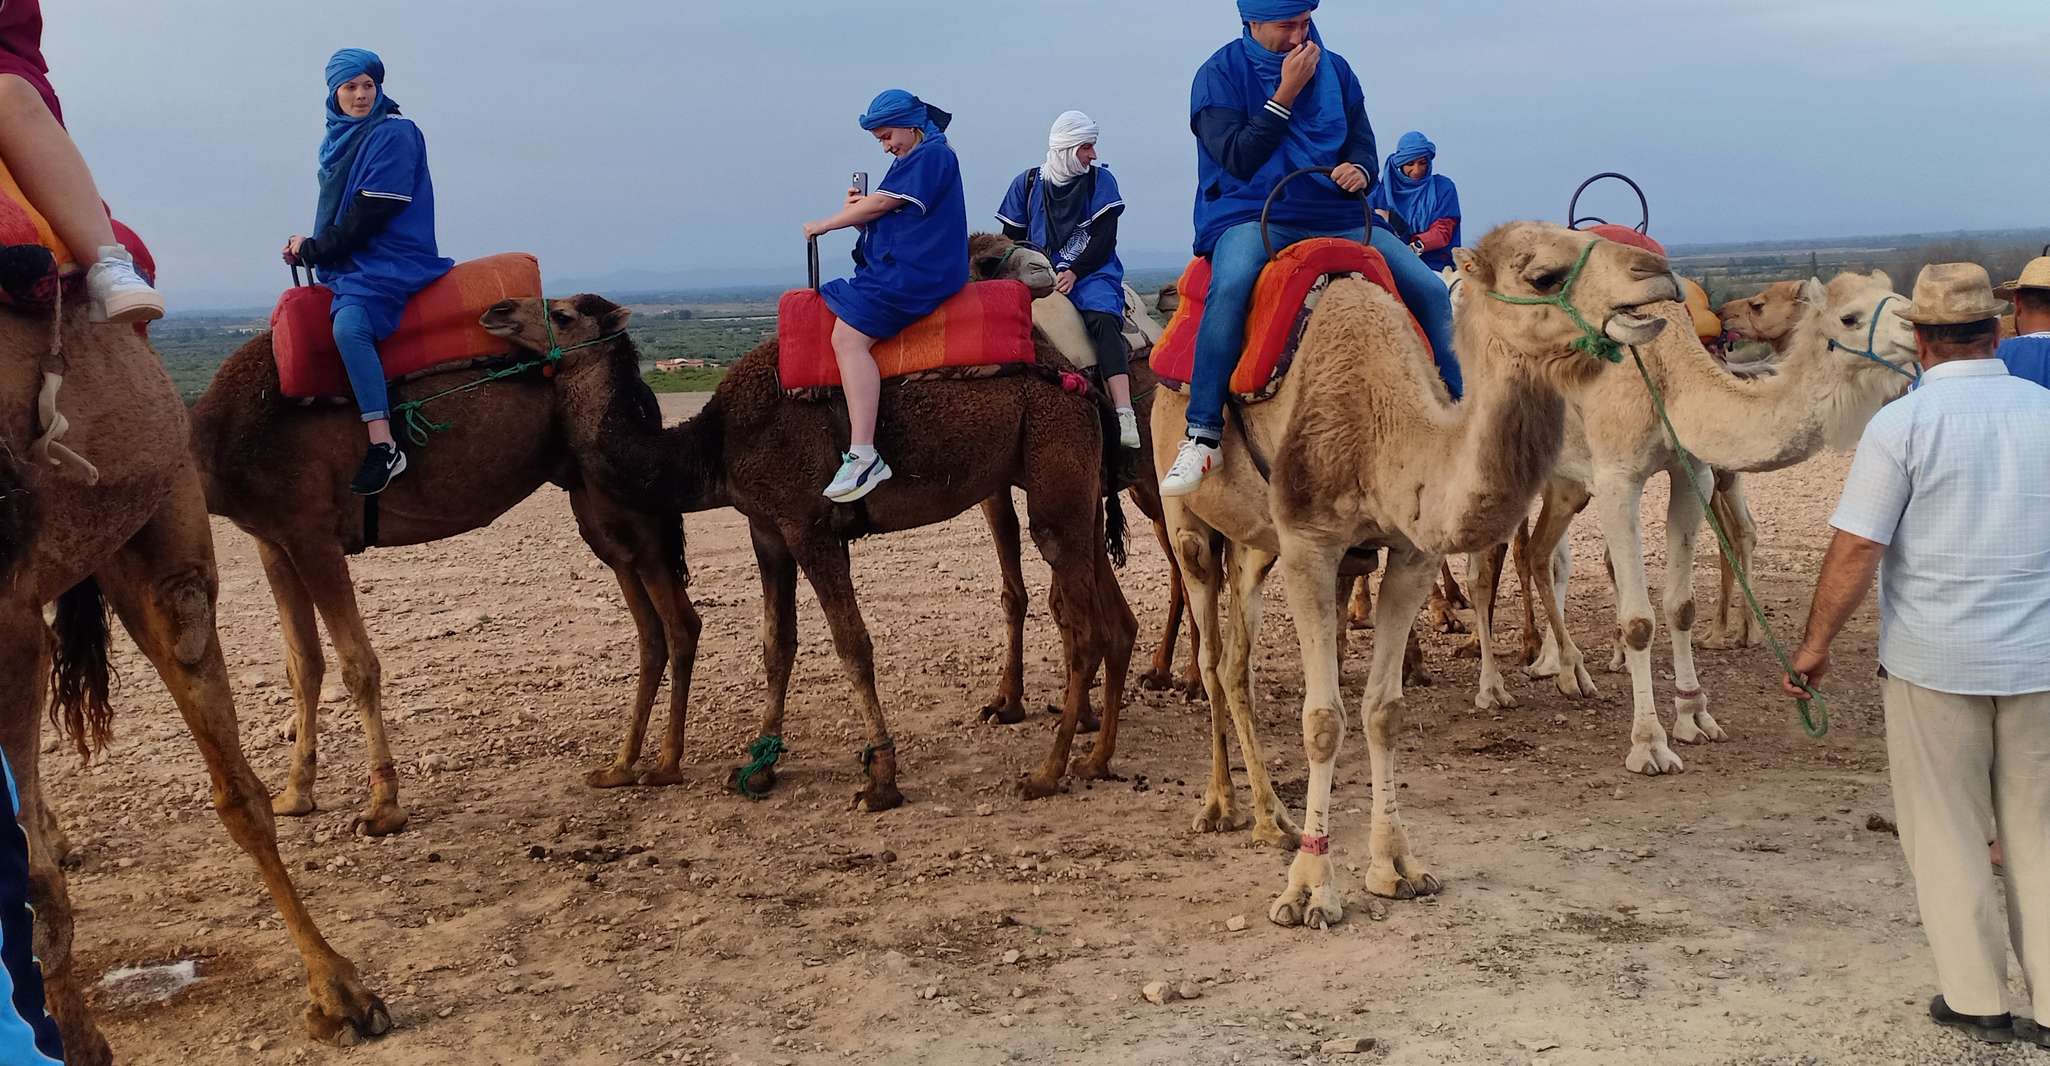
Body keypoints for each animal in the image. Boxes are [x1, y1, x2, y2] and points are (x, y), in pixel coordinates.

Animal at [189, 320, 706, 835]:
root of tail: (639, 389)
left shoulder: (312, 534)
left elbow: (357, 666)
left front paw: (382, 808)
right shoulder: (273, 540)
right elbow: (302, 667)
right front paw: (294, 795)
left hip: (624, 496)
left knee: (679, 622)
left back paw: (665, 765)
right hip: (594, 502)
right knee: (648, 623)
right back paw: (621, 766)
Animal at [479, 293, 1137, 808]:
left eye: (562, 313)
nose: (495, 311)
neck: (716, 445)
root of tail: (1080, 381)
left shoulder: (809, 525)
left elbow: (852, 645)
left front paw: (881, 779)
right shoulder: (766, 529)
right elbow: (777, 644)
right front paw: (759, 766)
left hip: (1053, 463)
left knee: (1081, 626)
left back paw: (1047, 772)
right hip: (1070, 481)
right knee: (1107, 616)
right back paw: (1094, 758)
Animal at [1159, 222, 1674, 925]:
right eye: (1542, 274)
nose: (1658, 273)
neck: (1379, 422)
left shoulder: (1411, 553)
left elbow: (1384, 711)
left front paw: (1395, 867)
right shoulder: (1309, 546)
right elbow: (1323, 721)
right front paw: (1310, 890)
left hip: (1253, 546)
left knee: (1237, 664)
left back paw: (1273, 817)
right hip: (1189, 525)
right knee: (1212, 659)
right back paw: (1223, 808)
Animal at [1505, 269, 1912, 775]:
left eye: (1900, 298)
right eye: (1850, 317)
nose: (1917, 326)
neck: (1666, 370)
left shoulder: (1691, 470)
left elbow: (1681, 605)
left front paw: (1694, 716)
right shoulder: (1616, 477)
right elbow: (1639, 620)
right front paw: (1649, 744)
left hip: (1562, 482)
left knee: (1541, 554)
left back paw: (1565, 669)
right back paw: (1504, 684)